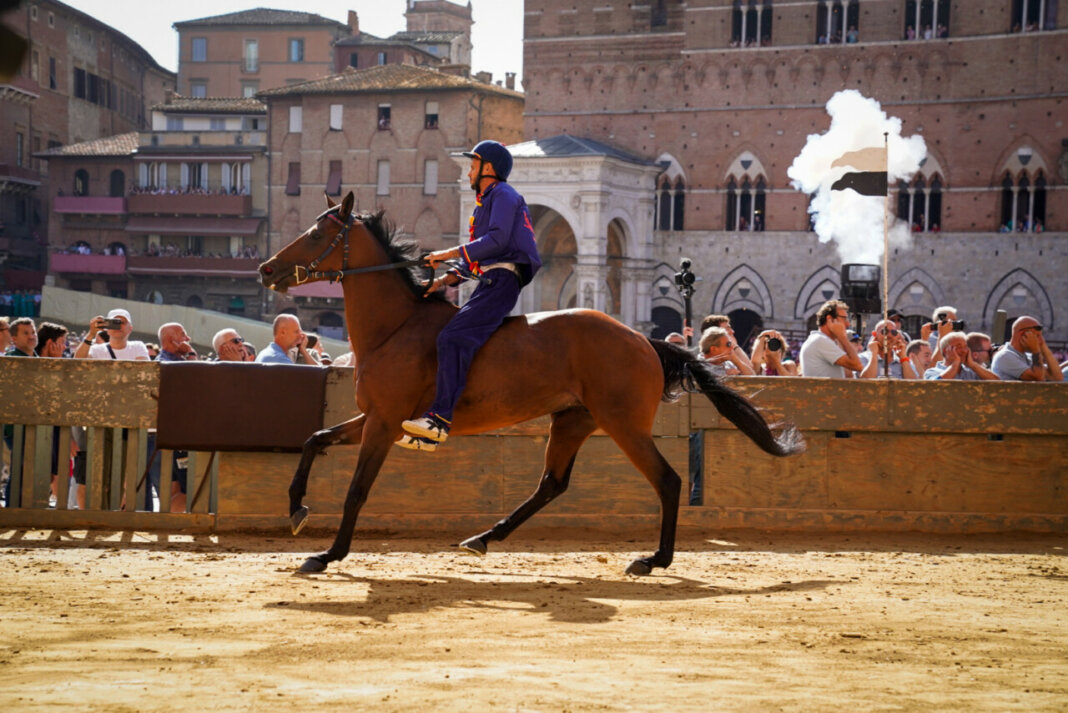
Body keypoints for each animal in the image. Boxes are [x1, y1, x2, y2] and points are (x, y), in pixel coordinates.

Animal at [260, 192, 803, 576]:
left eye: (316, 233)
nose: (267, 269)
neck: (396, 327)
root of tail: (644, 340)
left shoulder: (384, 423)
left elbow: (356, 490)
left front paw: (328, 554)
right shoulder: (376, 418)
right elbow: (314, 439)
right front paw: (296, 508)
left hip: (623, 424)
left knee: (667, 481)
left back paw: (654, 559)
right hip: (573, 421)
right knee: (551, 483)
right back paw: (484, 537)